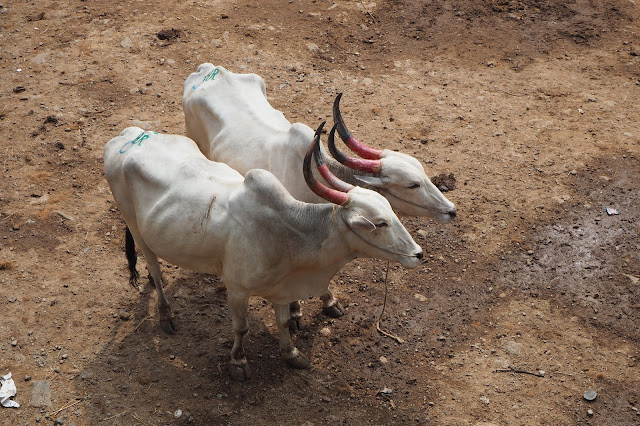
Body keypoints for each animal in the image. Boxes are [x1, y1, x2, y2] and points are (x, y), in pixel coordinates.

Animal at [102, 123, 422, 380]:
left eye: (391, 212)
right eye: (379, 222)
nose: (417, 254)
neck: (292, 233)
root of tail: (126, 136)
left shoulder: (282, 288)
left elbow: (283, 321)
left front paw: (291, 354)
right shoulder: (237, 289)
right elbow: (240, 328)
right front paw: (238, 363)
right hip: (136, 227)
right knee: (154, 269)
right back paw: (166, 314)